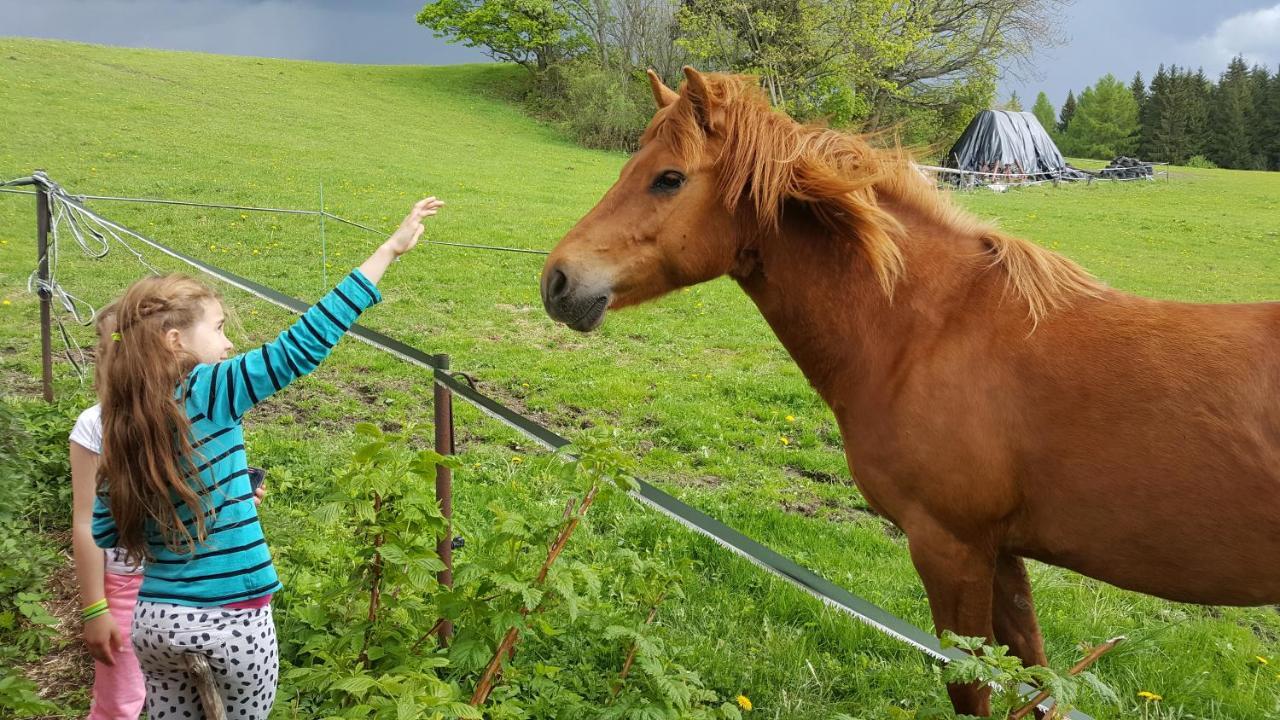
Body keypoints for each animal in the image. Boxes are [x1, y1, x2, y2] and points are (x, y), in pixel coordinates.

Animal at [542, 68, 1280, 712]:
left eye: (669, 178)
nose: (557, 280)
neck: (931, 330)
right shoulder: (1002, 555)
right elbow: (1032, 677)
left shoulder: (950, 548)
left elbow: (975, 686)